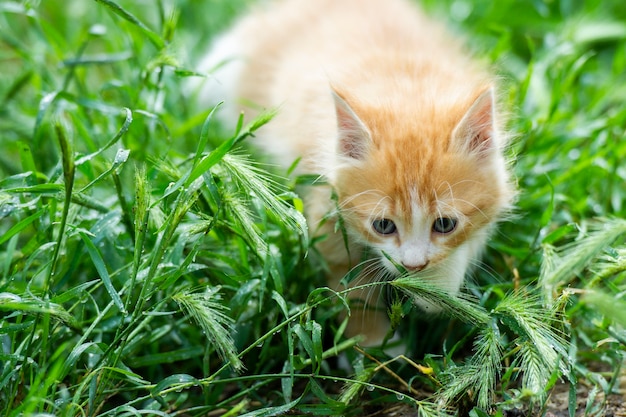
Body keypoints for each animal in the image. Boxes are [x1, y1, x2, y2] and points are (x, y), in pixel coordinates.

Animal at [194, 0, 512, 344]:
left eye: (444, 224)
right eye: (383, 226)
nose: (413, 266)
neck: (406, 93)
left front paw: (436, 287)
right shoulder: (324, 198)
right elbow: (348, 283)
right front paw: (371, 342)